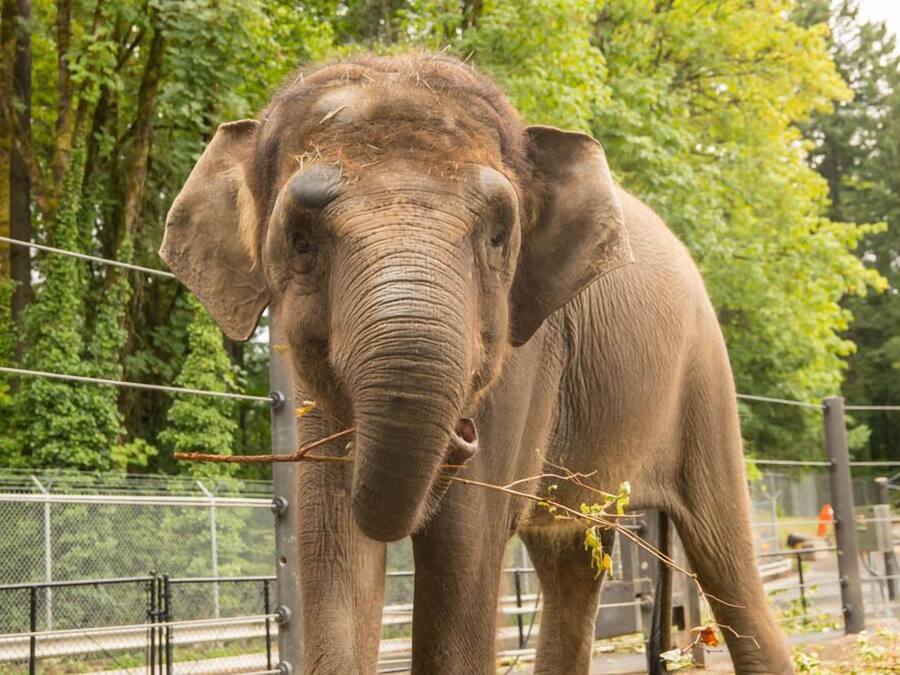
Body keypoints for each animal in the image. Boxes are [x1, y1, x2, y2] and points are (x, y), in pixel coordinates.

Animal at [160, 53, 793, 674]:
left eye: (496, 236)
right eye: (300, 240)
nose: (462, 434)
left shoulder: (524, 358)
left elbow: (464, 546)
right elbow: (334, 544)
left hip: (705, 376)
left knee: (725, 558)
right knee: (571, 561)